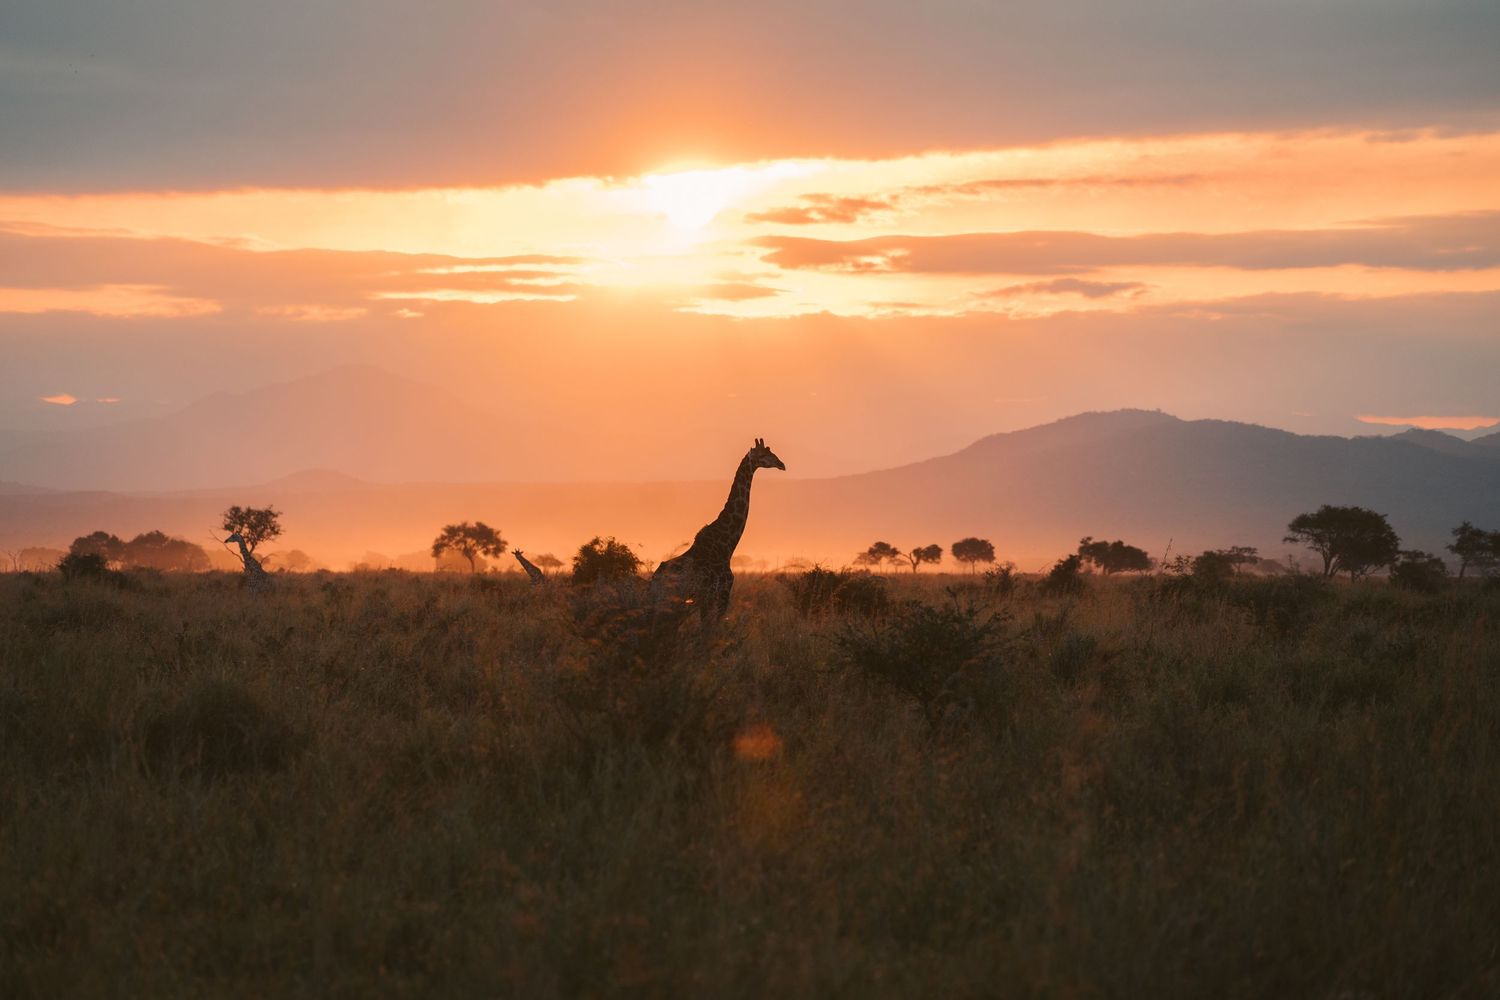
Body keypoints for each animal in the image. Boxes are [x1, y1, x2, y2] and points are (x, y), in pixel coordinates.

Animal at [650, 438, 785, 623]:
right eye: (763, 455)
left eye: (772, 452)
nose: (782, 464)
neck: (726, 546)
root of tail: (653, 579)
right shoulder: (720, 594)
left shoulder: (710, 597)